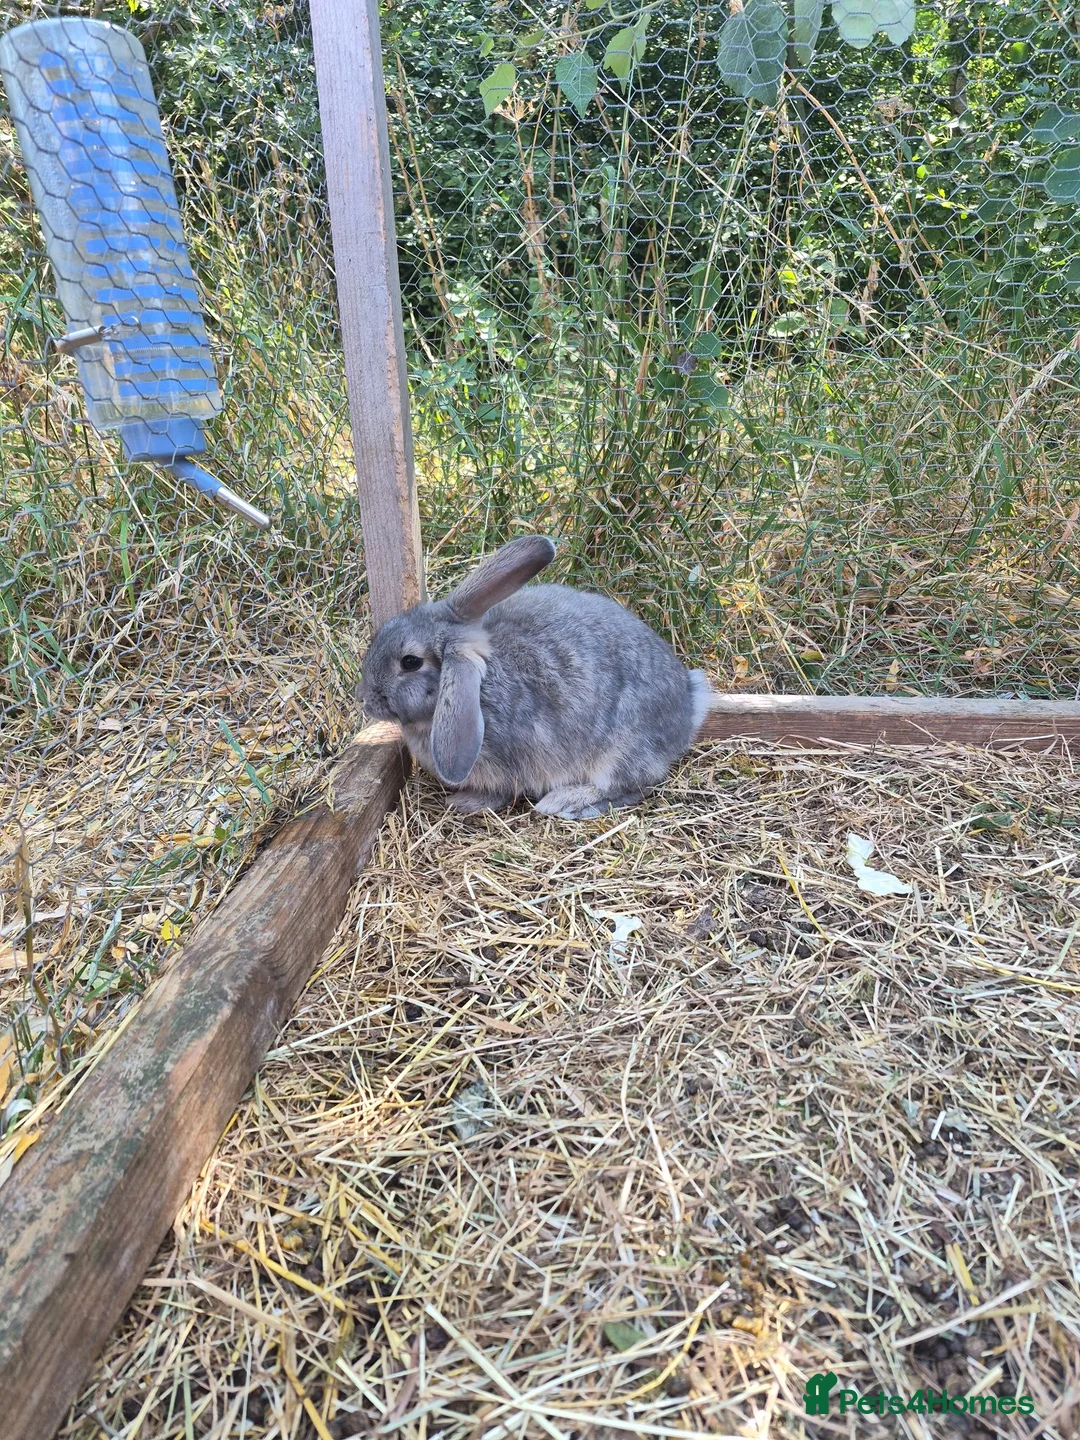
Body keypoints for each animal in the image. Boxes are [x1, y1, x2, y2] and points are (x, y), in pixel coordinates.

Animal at [359, 535, 713, 819]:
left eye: (410, 662)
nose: (363, 699)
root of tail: (688, 703)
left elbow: (500, 793)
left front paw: (465, 803)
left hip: (619, 752)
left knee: (634, 786)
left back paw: (565, 803)